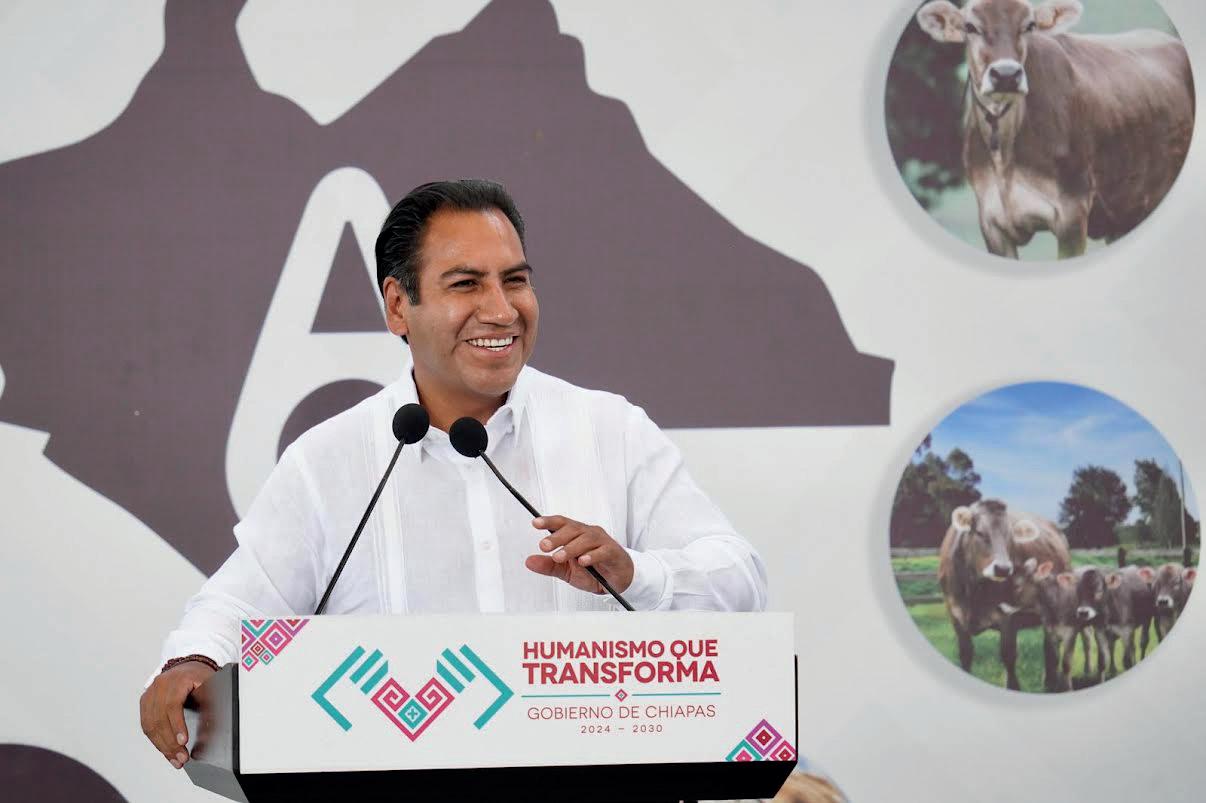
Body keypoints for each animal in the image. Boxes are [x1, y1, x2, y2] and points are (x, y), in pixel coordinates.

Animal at [916, 0, 1195, 259]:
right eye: (970, 27)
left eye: (1030, 25)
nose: (1006, 74)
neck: (1006, 155)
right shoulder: (991, 221)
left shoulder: (1072, 211)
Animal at [938, 499, 1071, 690]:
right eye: (979, 532)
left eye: (1010, 537)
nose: (1003, 568)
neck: (974, 591)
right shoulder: (954, 614)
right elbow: (965, 653)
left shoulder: (1008, 616)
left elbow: (1008, 655)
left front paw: (1014, 687)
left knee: (1051, 646)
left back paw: (1052, 683)